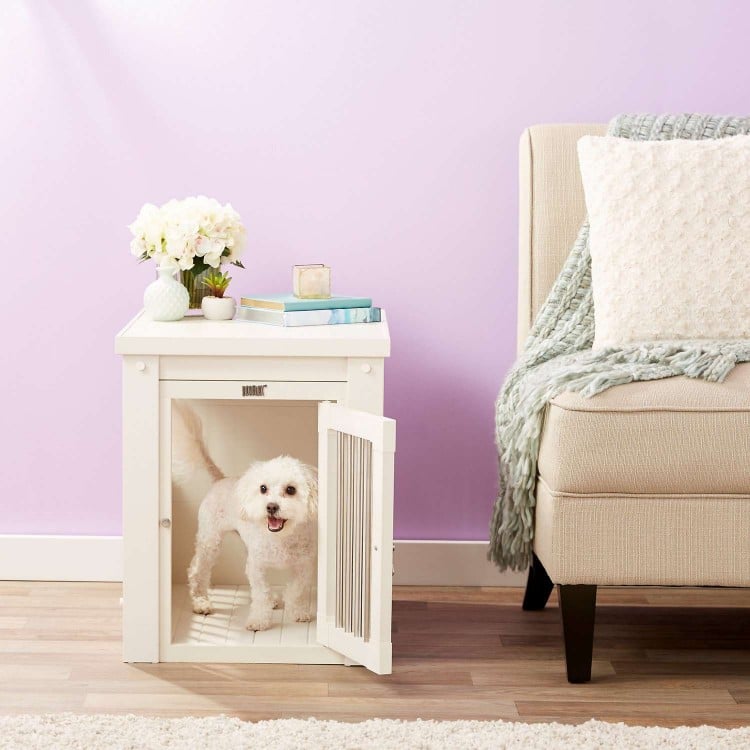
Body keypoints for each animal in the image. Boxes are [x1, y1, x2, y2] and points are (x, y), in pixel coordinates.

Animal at [173, 402, 318, 632]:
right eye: (263, 488)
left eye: (291, 489)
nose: (271, 507)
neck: (281, 538)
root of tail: (220, 480)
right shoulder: (258, 566)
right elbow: (260, 594)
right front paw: (259, 620)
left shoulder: (303, 565)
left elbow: (296, 590)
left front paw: (298, 612)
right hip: (210, 540)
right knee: (197, 571)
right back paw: (201, 602)